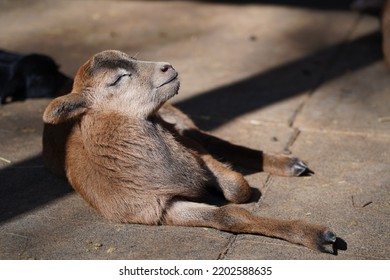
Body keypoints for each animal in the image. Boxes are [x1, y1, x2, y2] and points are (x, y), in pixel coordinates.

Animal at [42, 50, 336, 254]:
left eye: (132, 58)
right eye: (118, 79)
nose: (167, 67)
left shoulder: (190, 149)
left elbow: (235, 188)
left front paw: (324, 237)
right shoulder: (160, 209)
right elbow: (227, 215)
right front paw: (323, 238)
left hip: (175, 116)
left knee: (215, 140)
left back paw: (292, 164)